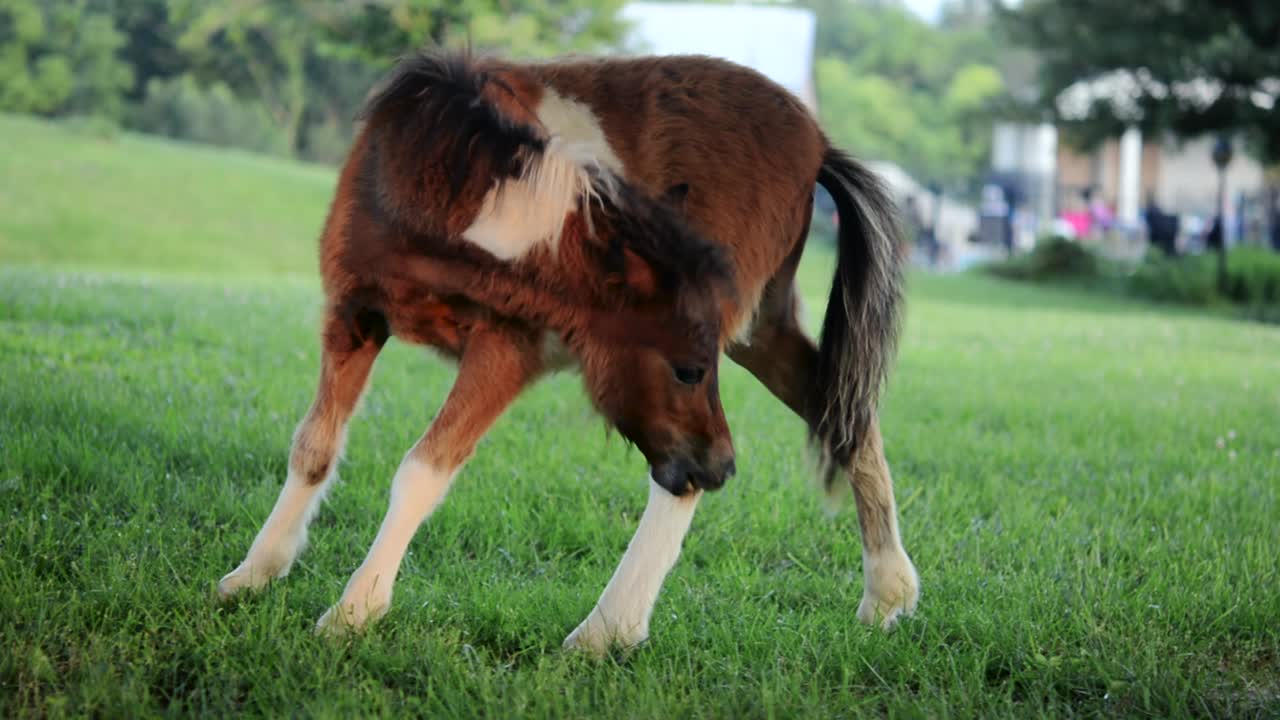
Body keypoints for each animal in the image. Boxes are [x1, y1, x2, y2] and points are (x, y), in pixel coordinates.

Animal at [215, 49, 919, 655]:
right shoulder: (354, 314)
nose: (723, 467)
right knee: (842, 408)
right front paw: (253, 574)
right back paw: (887, 596)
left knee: (698, 476)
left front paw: (352, 612)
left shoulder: (506, 349)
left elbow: (423, 470)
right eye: (689, 370)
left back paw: (605, 632)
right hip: (757, 332)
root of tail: (817, 140)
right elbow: (314, 446)